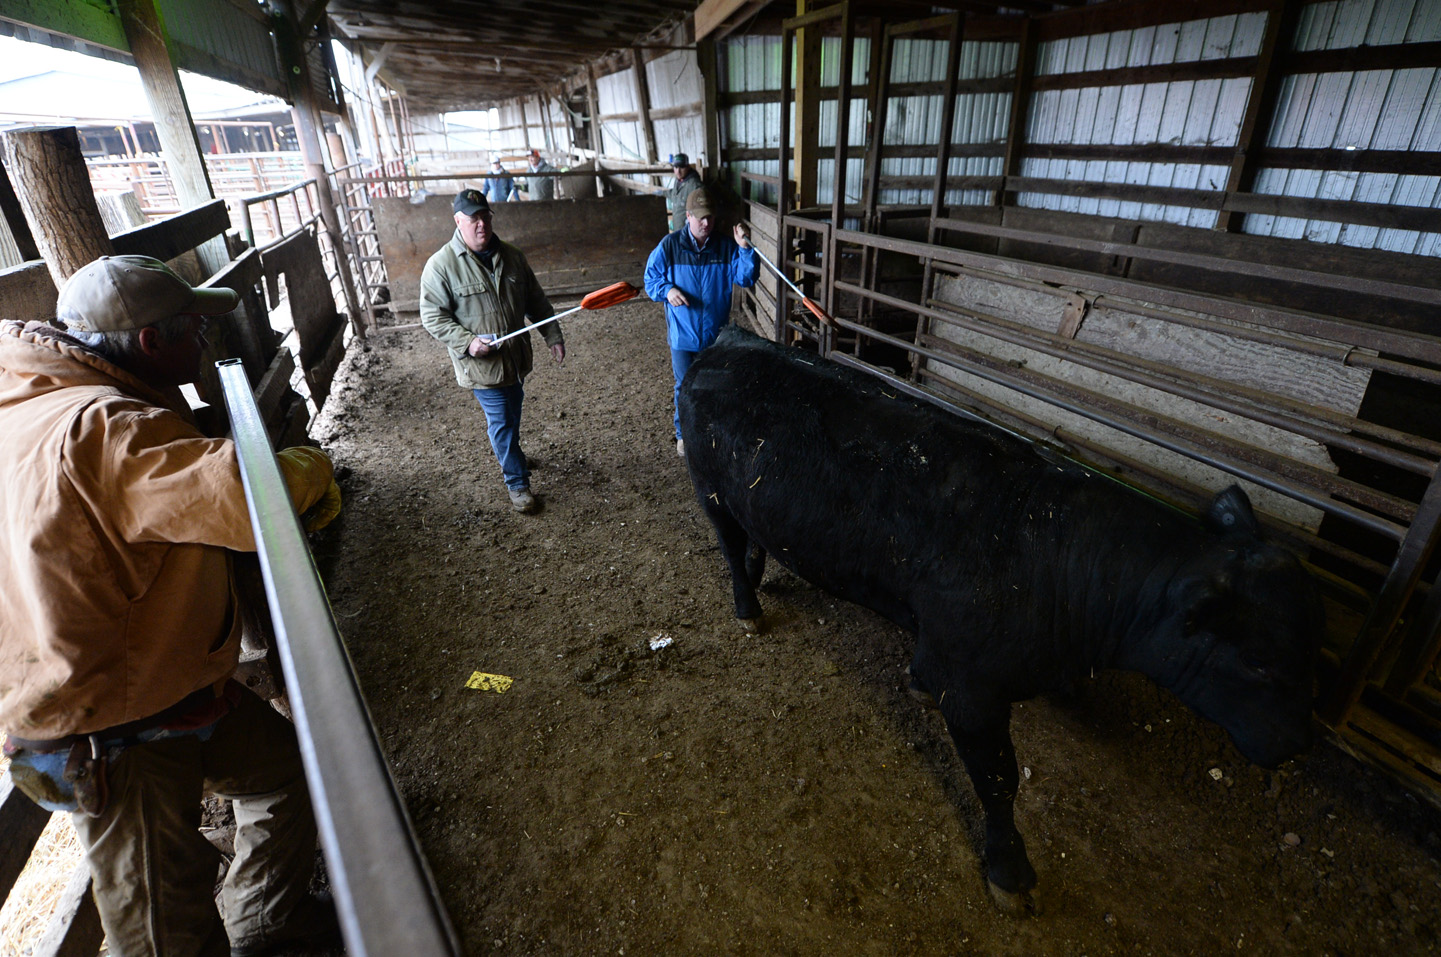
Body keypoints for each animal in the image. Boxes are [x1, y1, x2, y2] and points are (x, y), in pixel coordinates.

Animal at [680, 325, 1319, 916]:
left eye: (1311, 646)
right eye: (1257, 661)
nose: (1295, 745)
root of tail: (735, 337)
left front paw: (916, 684)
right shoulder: (973, 686)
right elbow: (999, 780)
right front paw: (1009, 869)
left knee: (752, 539)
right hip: (710, 490)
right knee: (729, 547)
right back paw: (748, 607)